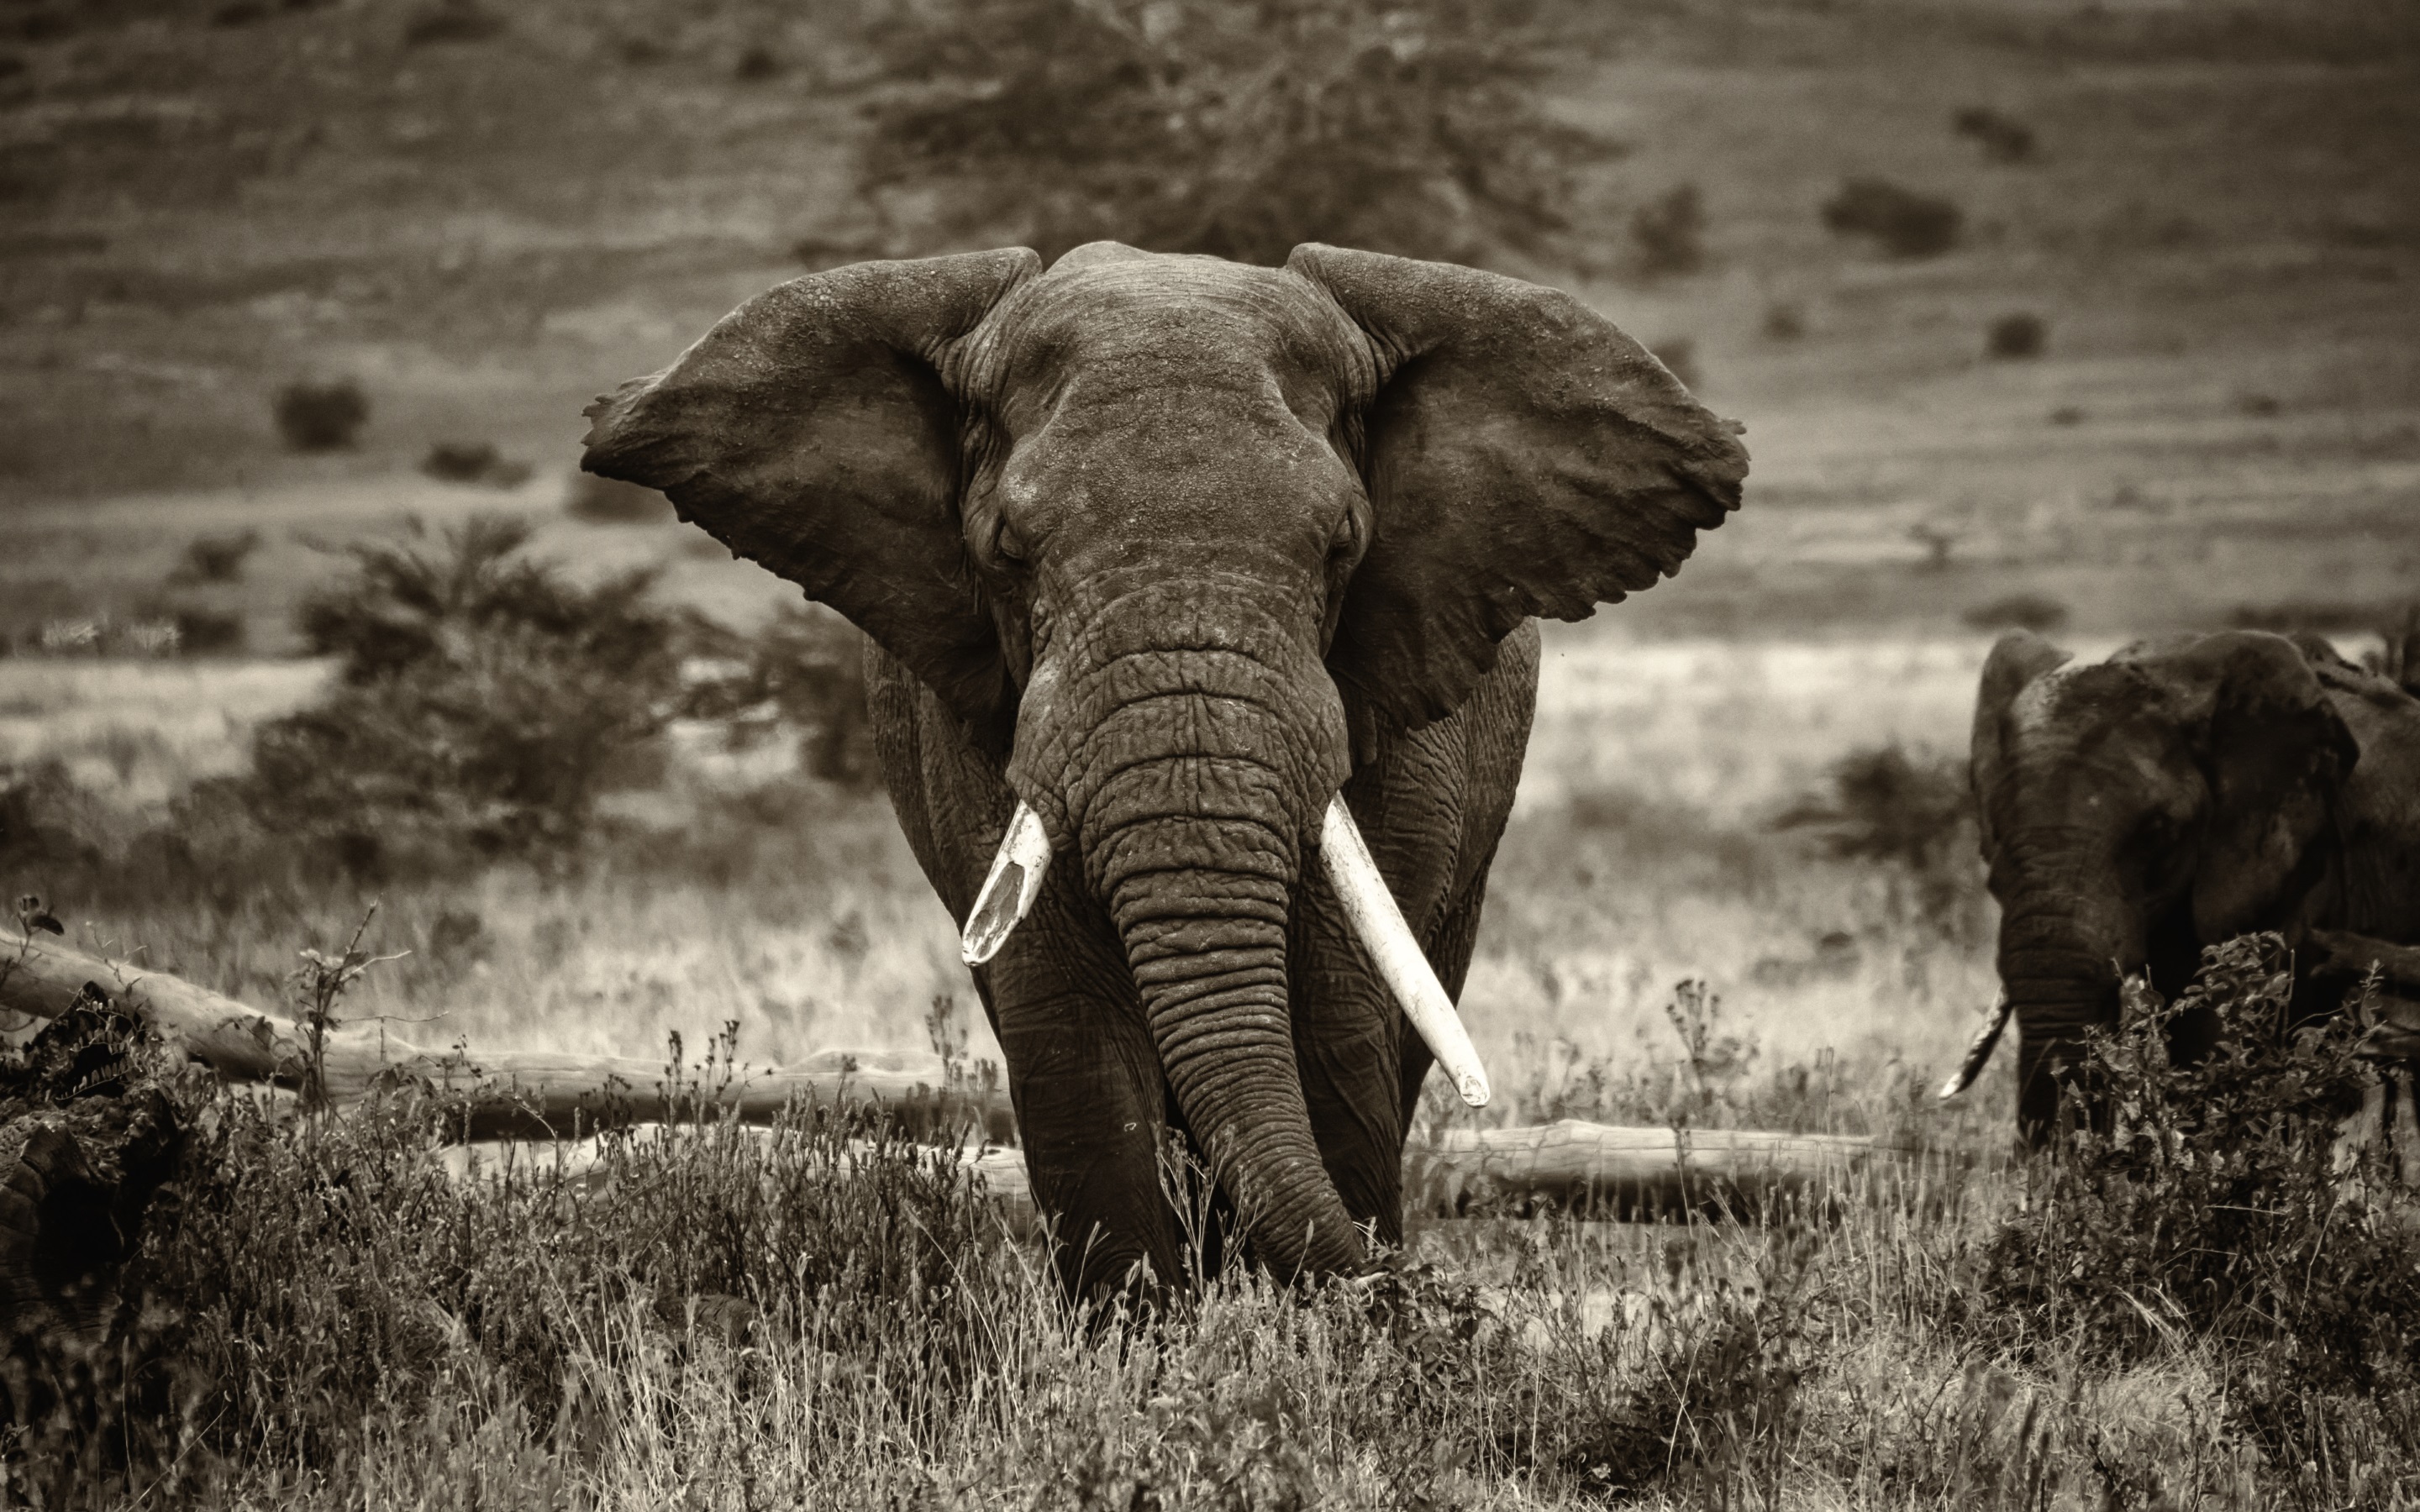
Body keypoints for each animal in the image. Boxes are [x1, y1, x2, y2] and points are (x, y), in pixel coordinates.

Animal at [579, 242, 1748, 1298]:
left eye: (1342, 546)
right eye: (1008, 551)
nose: (1430, 1295)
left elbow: (1332, 1015)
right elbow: (1071, 1036)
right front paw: (1142, 1354)